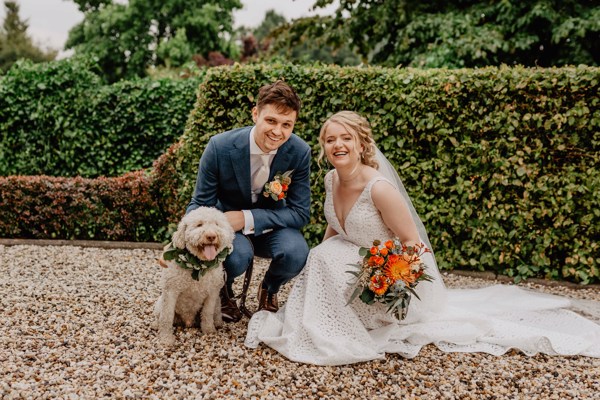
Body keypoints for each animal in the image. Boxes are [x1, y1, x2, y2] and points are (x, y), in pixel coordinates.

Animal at [153, 207, 234, 346]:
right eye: (199, 225)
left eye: (217, 224)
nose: (211, 236)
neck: (199, 266)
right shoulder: (170, 292)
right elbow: (166, 316)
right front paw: (166, 338)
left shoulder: (212, 293)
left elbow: (207, 313)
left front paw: (209, 331)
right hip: (160, 303)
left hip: (218, 301)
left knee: (216, 313)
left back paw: (218, 323)